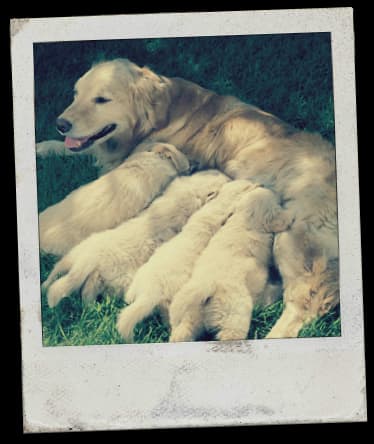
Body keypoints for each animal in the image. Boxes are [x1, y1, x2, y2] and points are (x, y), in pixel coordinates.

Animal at [43, 170, 231, 308]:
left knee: (57, 272)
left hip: (73, 255)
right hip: (112, 277)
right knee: (87, 290)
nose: (227, 175)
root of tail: (88, 260)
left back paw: (46, 287)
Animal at [169, 186, 292, 342]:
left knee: (182, 332)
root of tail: (205, 287)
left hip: (187, 315)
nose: (263, 185)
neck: (244, 219)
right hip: (234, 315)